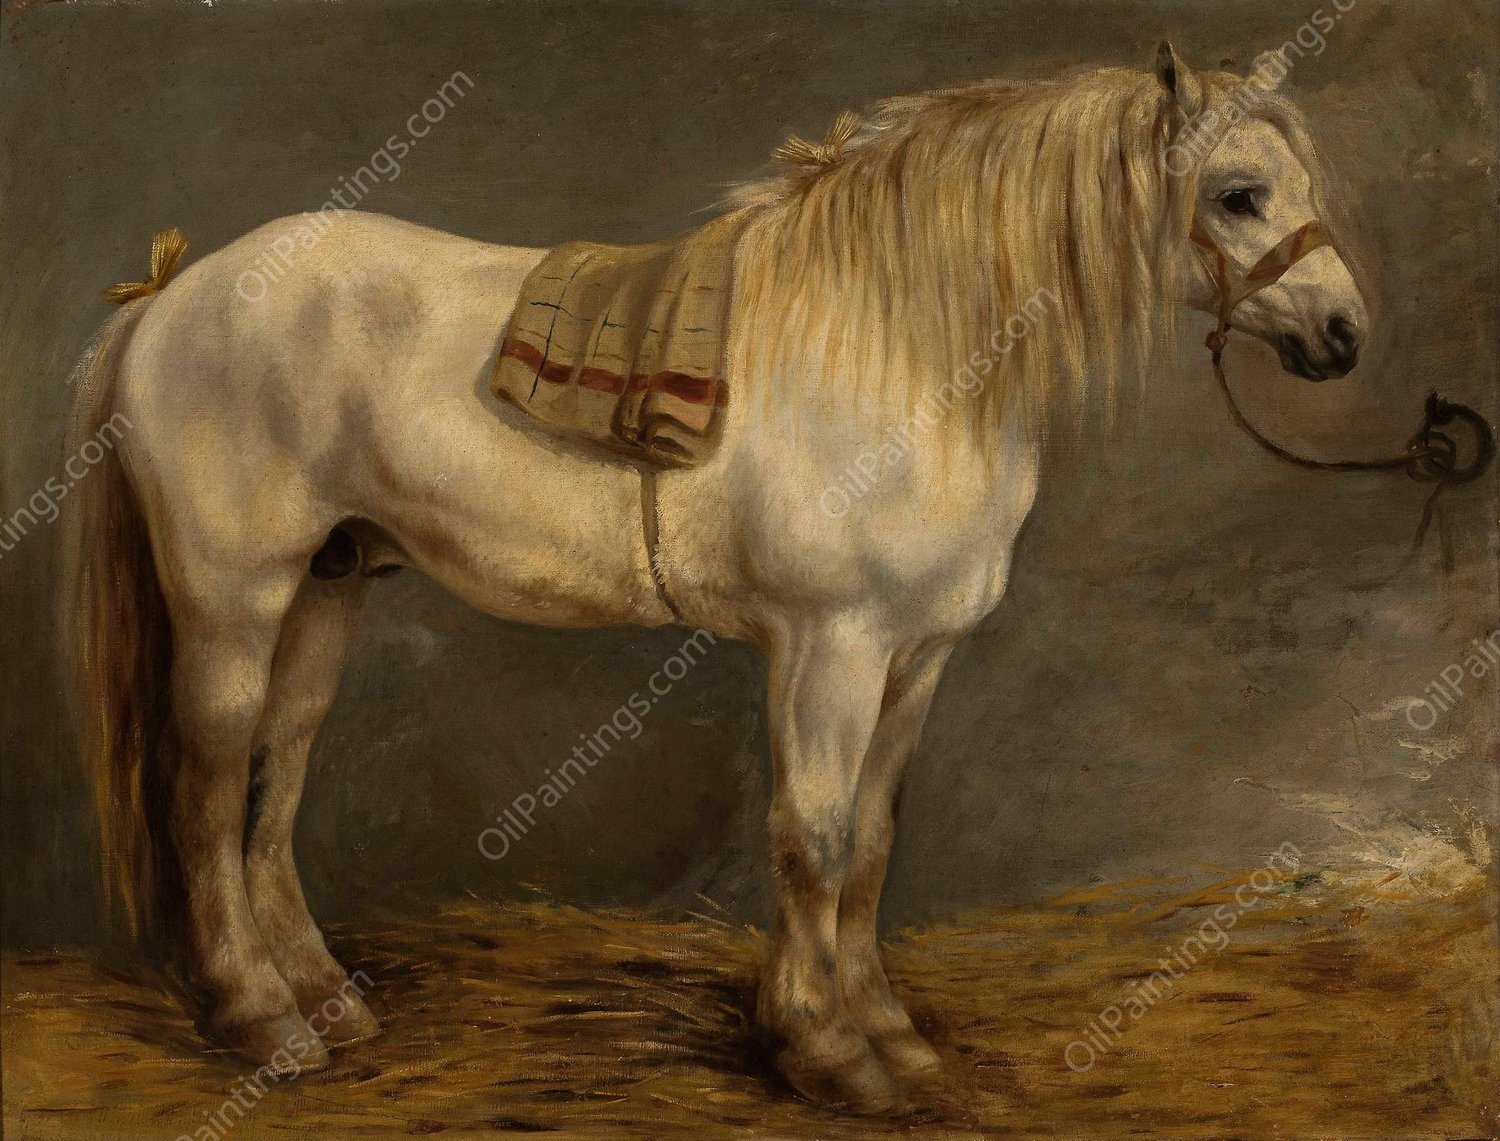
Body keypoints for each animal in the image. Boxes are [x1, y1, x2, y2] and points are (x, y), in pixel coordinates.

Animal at [62, 43, 1367, 1113]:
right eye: (1238, 193)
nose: (1346, 334)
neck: (901, 345)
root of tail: (172, 295)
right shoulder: (830, 647)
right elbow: (814, 837)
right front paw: (827, 1053)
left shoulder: (915, 658)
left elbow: (872, 843)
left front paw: (887, 1033)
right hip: (234, 596)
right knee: (206, 785)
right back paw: (259, 1019)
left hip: (326, 587)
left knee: (273, 783)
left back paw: (325, 1000)